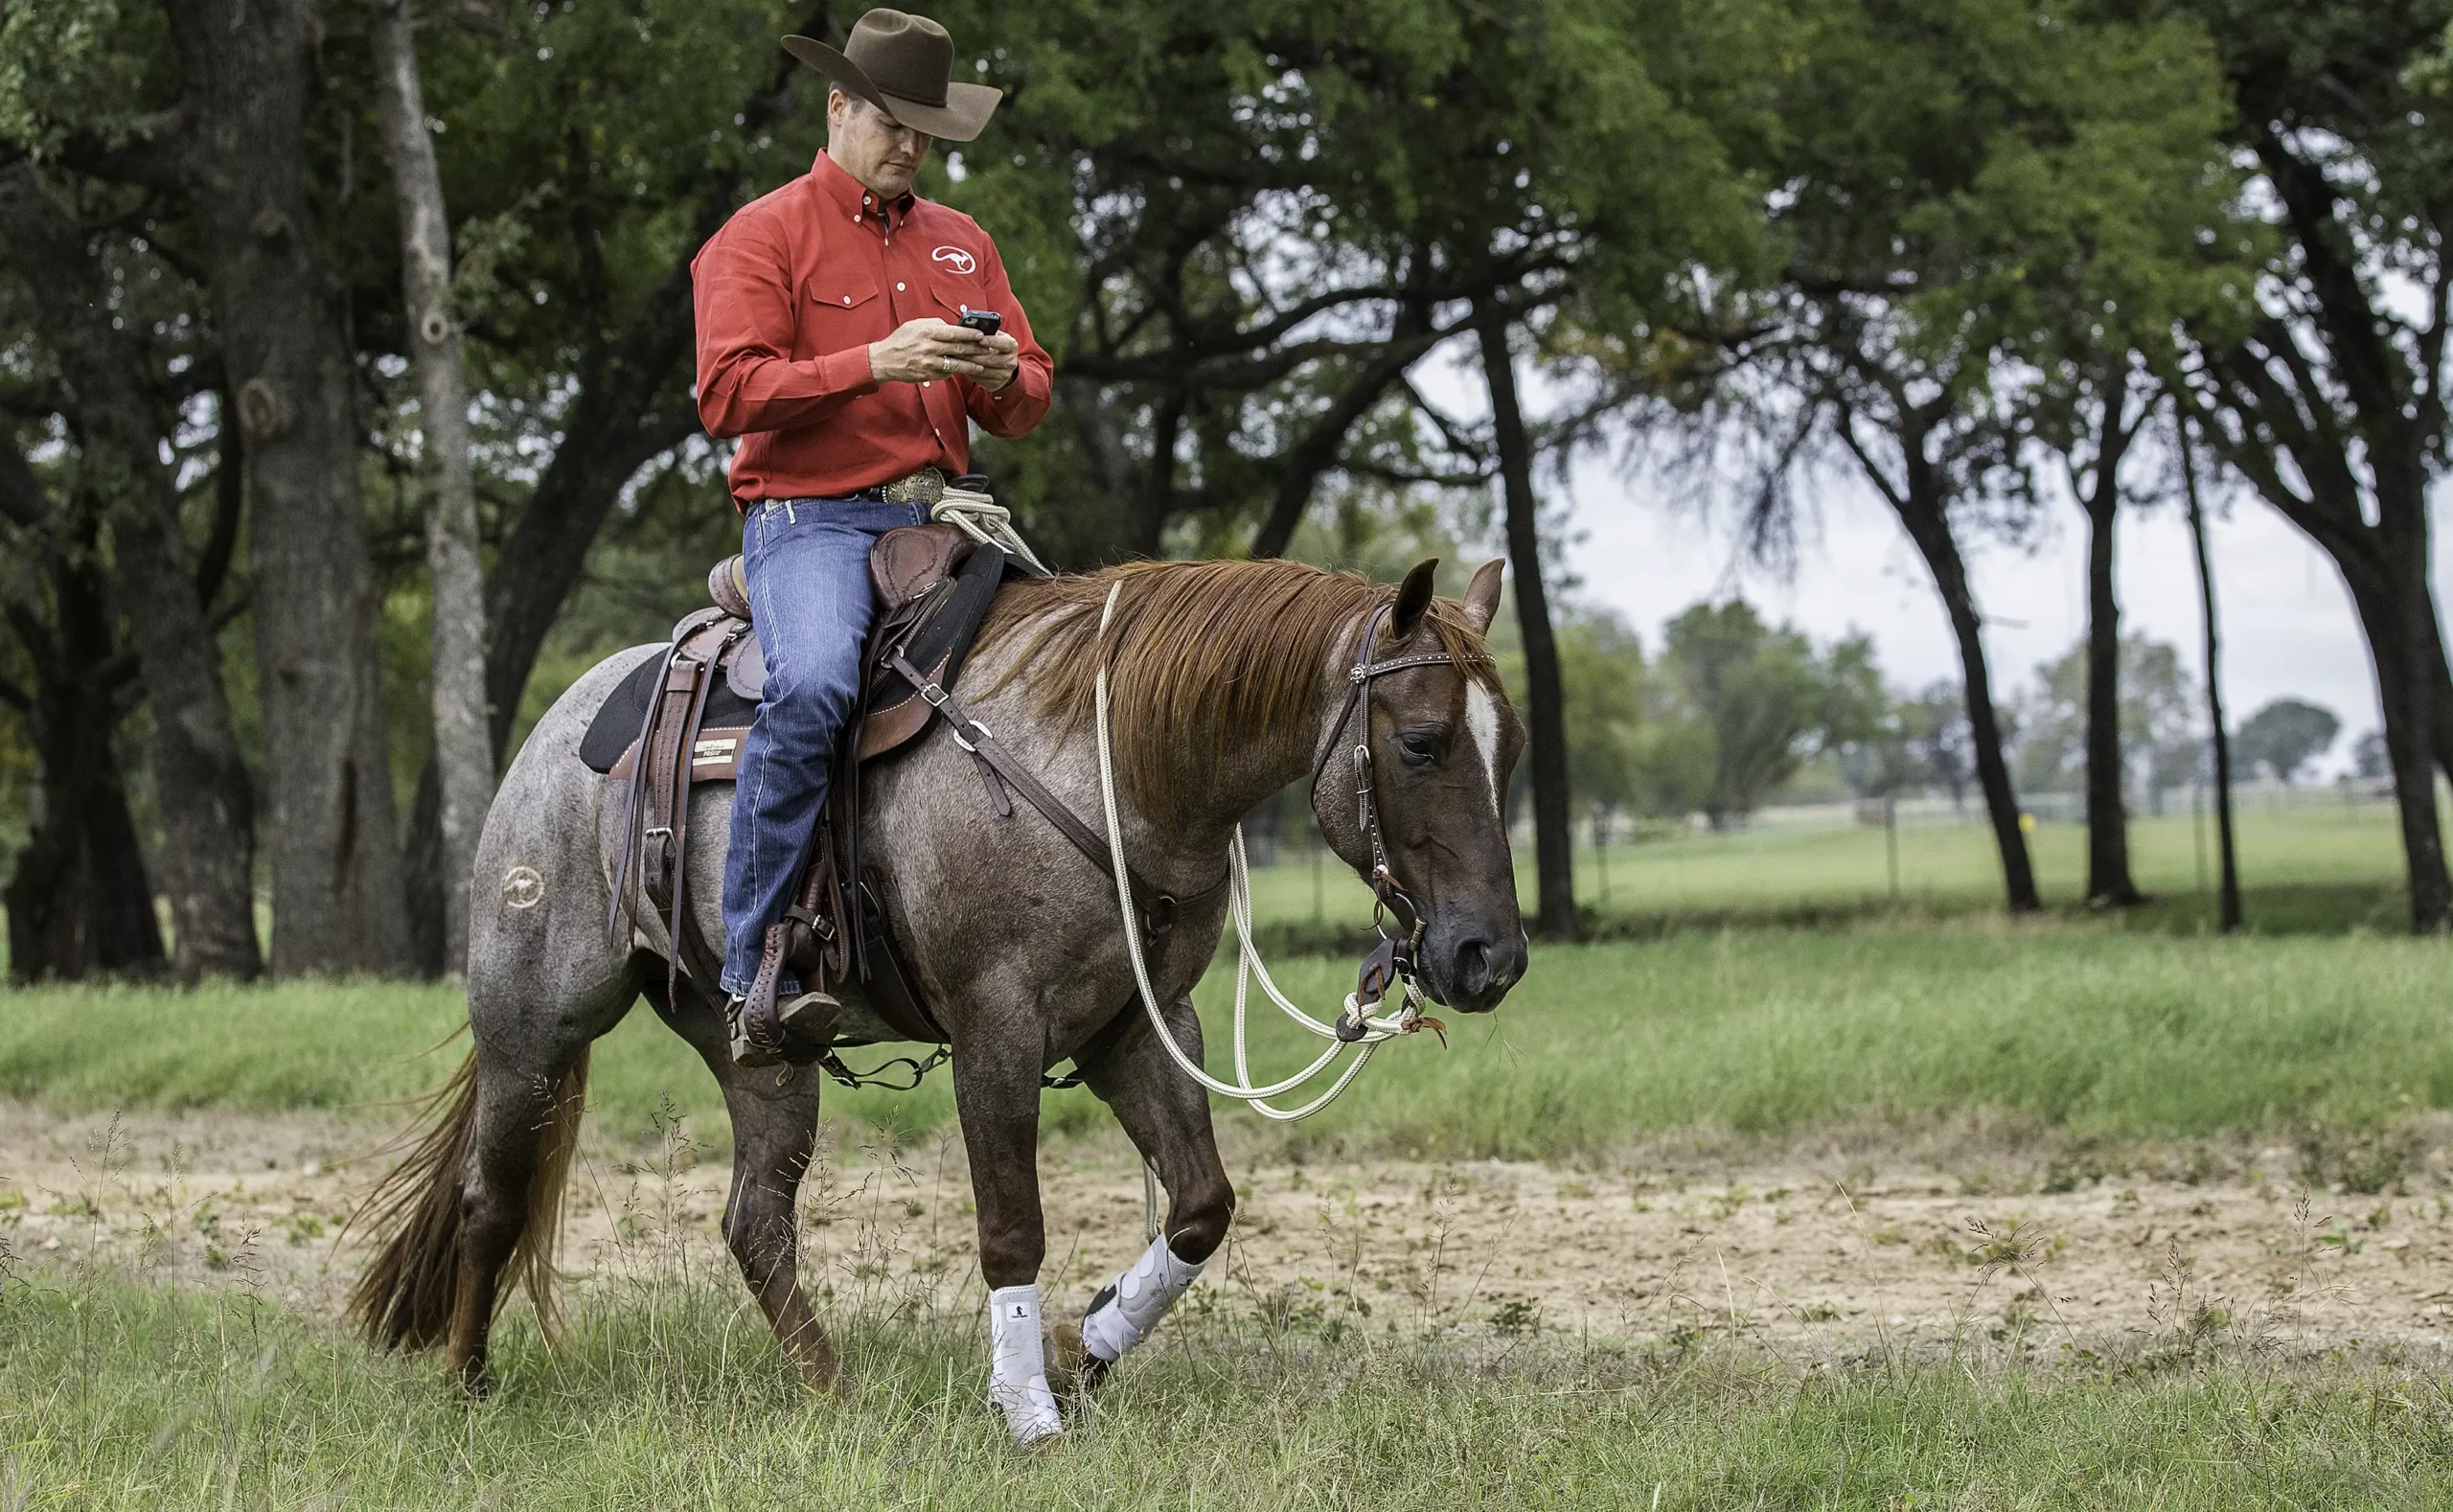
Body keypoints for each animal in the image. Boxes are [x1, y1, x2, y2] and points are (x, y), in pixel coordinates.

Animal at [348, 552, 1528, 1442]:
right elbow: (1011, 1230)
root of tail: (558, 732)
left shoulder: (1136, 1026)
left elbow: (1200, 1208)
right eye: (1421, 742)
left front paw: (1082, 1350)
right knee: (491, 1198)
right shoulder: (995, 1030)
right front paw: (1028, 1410)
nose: (1491, 958)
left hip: (757, 1052)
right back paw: (468, 1386)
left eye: (1507, 746)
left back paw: (832, 1391)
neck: (1110, 761)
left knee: (754, 1222)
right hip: (533, 1028)